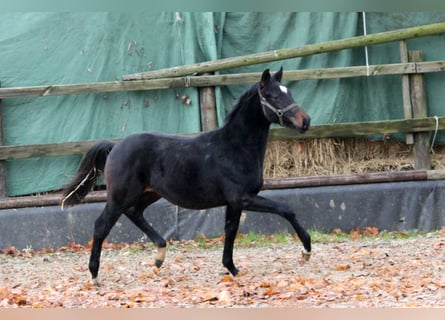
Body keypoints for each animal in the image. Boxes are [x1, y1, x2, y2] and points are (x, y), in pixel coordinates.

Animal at [60, 68, 310, 284]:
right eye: (273, 96)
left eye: (289, 92)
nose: (305, 121)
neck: (235, 148)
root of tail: (115, 146)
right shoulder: (243, 198)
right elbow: (286, 209)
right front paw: (306, 250)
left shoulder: (234, 203)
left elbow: (230, 231)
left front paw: (232, 268)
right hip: (120, 196)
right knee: (101, 226)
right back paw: (95, 275)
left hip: (149, 193)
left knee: (134, 213)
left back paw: (159, 255)